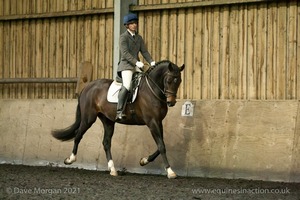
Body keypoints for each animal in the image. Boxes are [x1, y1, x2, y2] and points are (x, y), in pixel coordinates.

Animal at [50, 60, 184, 179]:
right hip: (88, 119)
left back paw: (112, 169)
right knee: (78, 135)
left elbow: (161, 145)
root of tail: (87, 87)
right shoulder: (152, 122)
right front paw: (170, 172)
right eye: (169, 80)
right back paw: (70, 159)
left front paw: (144, 160)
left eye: (179, 81)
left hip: (108, 121)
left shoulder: (158, 122)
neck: (152, 90)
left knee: (106, 142)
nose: (171, 102)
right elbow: (161, 146)